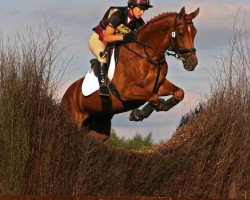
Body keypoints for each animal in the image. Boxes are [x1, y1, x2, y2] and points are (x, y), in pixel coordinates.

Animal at [62, 6, 199, 141]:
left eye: (195, 32)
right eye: (181, 33)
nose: (192, 63)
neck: (147, 56)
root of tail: (67, 93)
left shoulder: (157, 86)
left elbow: (178, 93)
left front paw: (153, 109)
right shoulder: (127, 92)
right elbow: (154, 97)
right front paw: (138, 114)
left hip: (99, 127)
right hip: (73, 119)